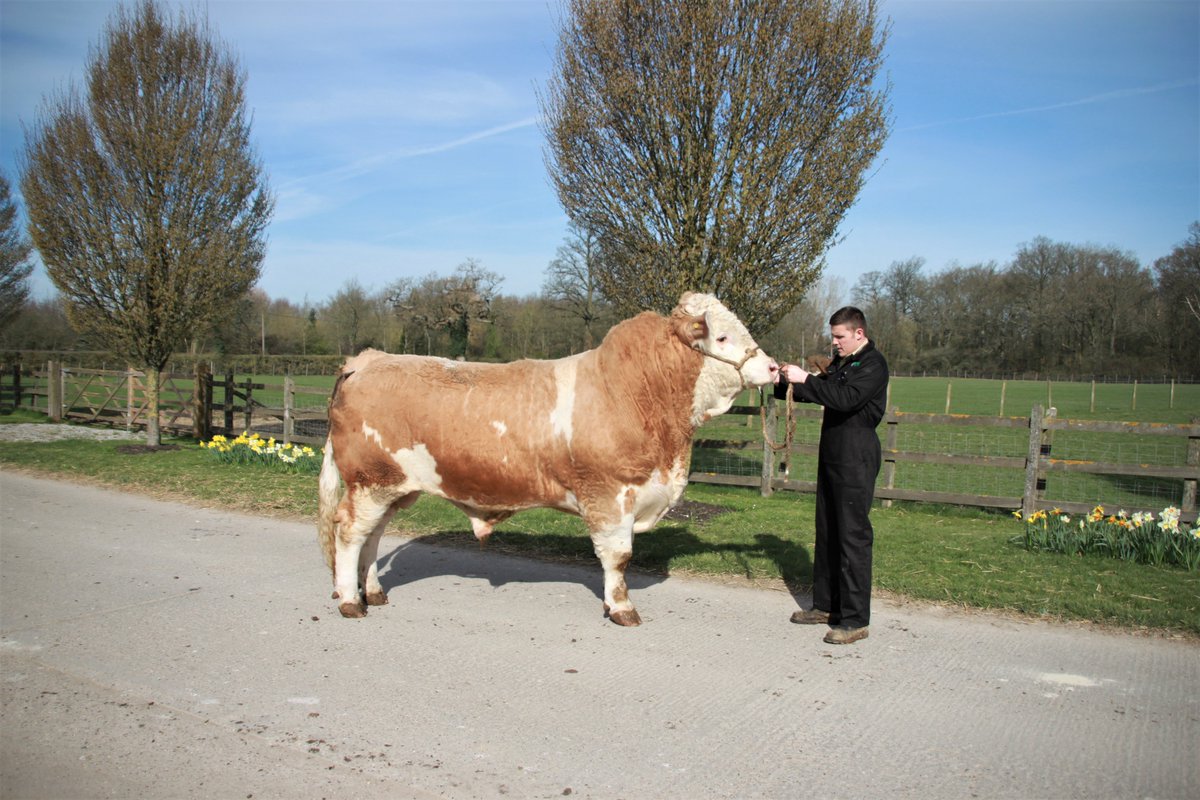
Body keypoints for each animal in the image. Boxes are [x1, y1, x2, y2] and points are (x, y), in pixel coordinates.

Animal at [317, 292, 778, 626]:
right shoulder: (610, 497)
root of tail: (368, 360)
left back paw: (373, 592)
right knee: (350, 534)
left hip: (393, 487)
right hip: (372, 482)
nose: (774, 368)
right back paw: (350, 602)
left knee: (372, 537)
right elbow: (618, 557)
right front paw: (621, 609)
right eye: (722, 337)